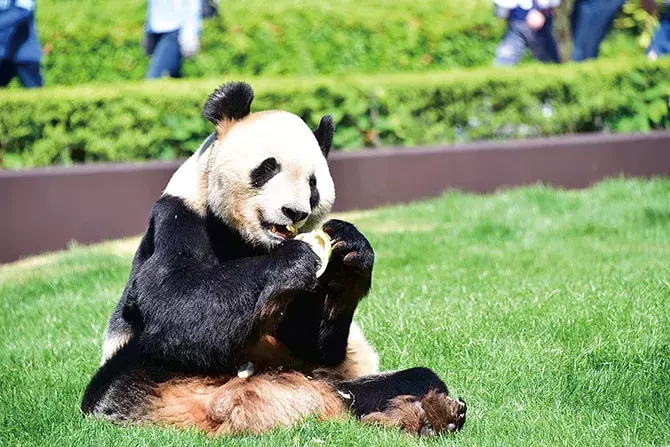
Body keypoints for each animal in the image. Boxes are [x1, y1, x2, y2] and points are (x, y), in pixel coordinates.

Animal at [81, 81, 468, 438]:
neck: (253, 242)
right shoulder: (180, 218)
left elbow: (311, 340)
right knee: (143, 359)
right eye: (268, 168)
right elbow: (174, 297)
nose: (294, 212)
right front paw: (292, 260)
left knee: (406, 381)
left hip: (335, 382)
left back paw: (432, 415)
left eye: (313, 184)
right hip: (139, 374)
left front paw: (349, 254)